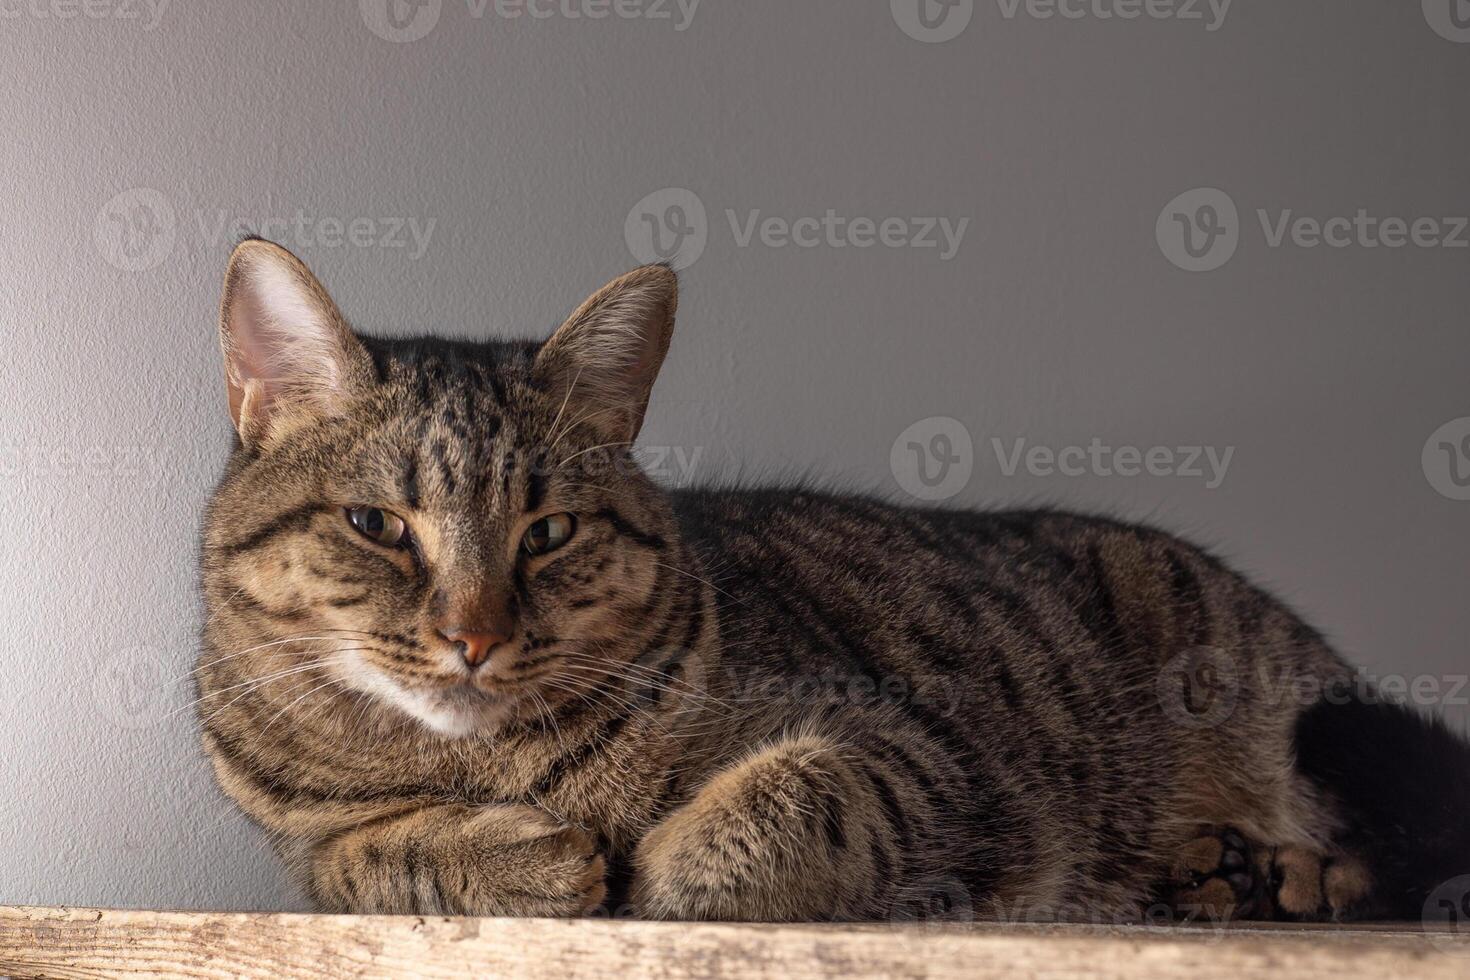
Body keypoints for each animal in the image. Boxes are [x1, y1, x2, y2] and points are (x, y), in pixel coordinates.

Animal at [198, 240, 1470, 922]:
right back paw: (1224, 875)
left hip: (1294, 718)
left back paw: (1281, 877)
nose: (474, 635)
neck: (495, 759)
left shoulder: (913, 748)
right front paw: (525, 854)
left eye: (547, 530)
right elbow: (378, 852)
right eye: (378, 524)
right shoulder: (305, 845)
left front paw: (654, 865)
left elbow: (777, 801)